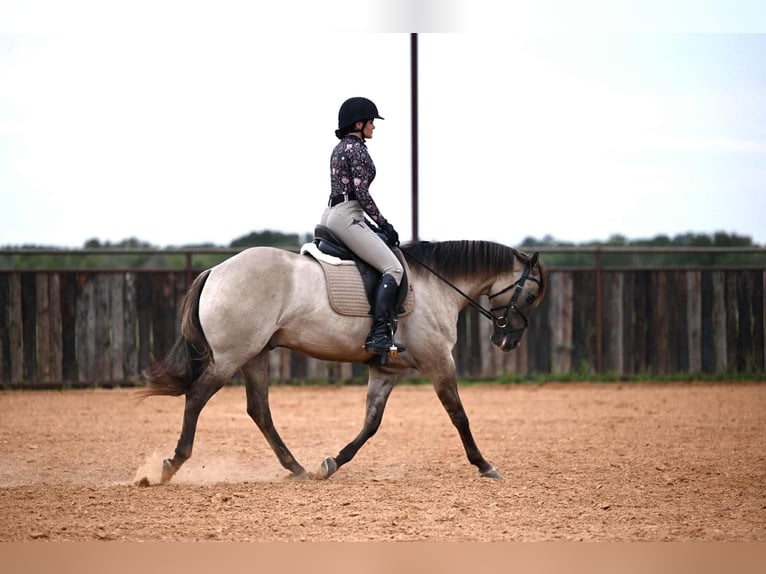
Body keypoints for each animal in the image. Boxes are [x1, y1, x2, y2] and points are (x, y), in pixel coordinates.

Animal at [138, 240, 547, 483]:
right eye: (530, 296)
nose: (507, 341)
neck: (435, 286)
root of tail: (216, 271)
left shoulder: (386, 370)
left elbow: (371, 424)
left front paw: (332, 462)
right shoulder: (438, 363)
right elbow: (459, 415)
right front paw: (485, 465)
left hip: (254, 356)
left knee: (259, 410)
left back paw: (297, 468)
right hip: (231, 356)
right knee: (197, 397)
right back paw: (171, 464)